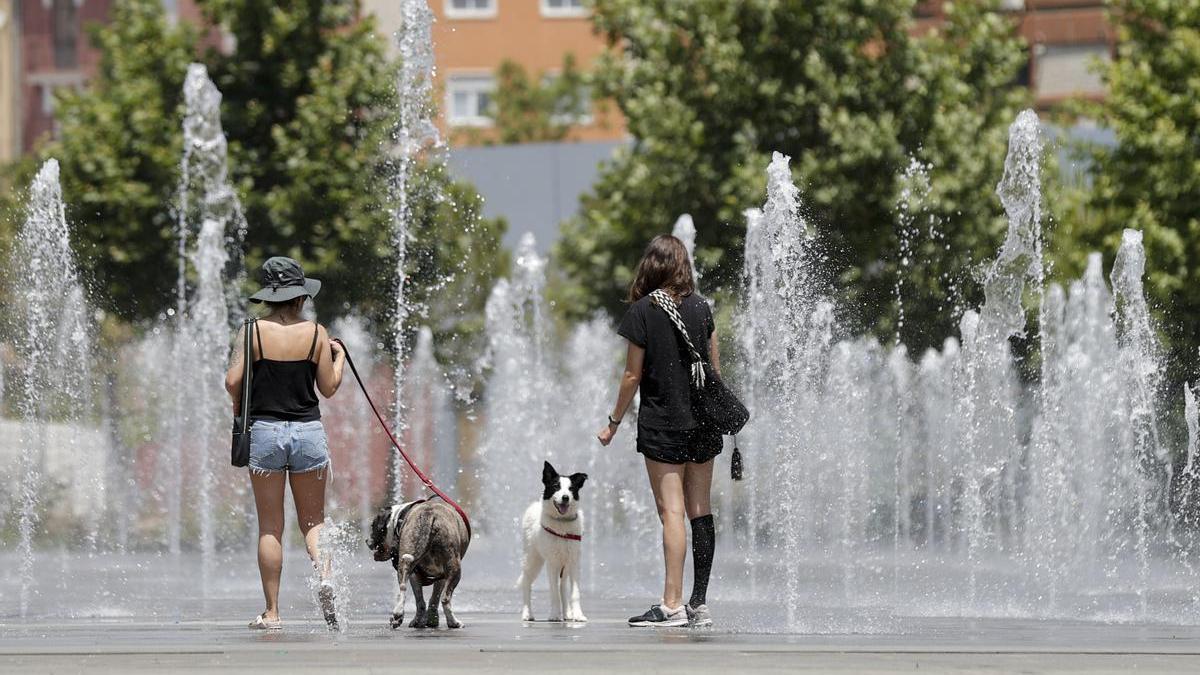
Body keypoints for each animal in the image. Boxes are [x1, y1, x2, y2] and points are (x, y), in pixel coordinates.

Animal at [367, 497, 470, 629]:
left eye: (372, 526)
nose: (366, 540)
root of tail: (429, 515)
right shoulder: (441, 577)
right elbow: (434, 599)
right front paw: (431, 620)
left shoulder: (415, 574)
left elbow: (420, 600)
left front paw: (419, 621)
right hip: (454, 569)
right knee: (445, 599)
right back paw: (453, 622)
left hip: (406, 561)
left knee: (403, 587)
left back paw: (397, 615)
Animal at [518, 456, 588, 619]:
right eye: (556, 486)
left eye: (571, 489)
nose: (565, 498)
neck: (562, 523)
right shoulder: (552, 563)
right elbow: (554, 592)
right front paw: (555, 615)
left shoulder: (573, 561)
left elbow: (574, 592)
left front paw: (578, 615)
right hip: (532, 558)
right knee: (526, 582)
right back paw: (527, 613)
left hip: (564, 565)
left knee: (562, 586)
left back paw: (568, 614)